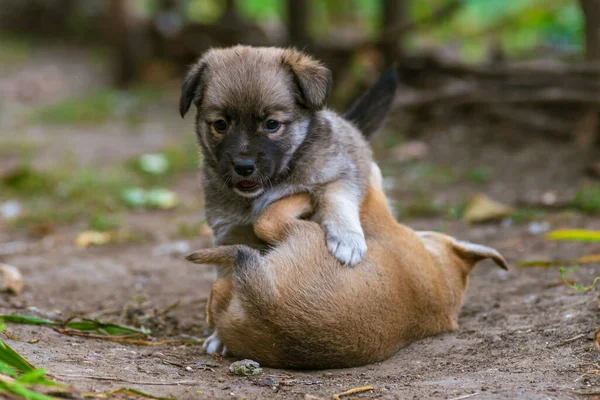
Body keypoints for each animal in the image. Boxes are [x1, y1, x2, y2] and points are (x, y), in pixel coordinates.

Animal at [178, 45, 398, 268]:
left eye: (272, 124)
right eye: (221, 124)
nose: (243, 167)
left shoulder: (337, 174)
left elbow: (337, 200)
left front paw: (346, 238)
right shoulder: (229, 231)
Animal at [185, 164, 508, 370]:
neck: (442, 277)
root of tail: (269, 307)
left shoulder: (379, 218)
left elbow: (374, 189)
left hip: (303, 233)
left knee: (260, 230)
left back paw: (303, 196)